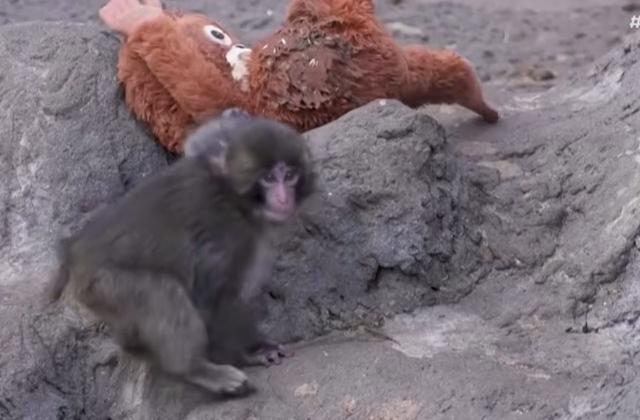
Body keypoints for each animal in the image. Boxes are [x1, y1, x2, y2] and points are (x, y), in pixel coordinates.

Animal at [49, 111, 316, 397]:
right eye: (269, 178)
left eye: (290, 175)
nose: (283, 198)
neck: (234, 198)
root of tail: (74, 252)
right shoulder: (228, 236)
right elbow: (213, 298)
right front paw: (250, 352)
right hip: (104, 283)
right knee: (162, 292)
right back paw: (196, 369)